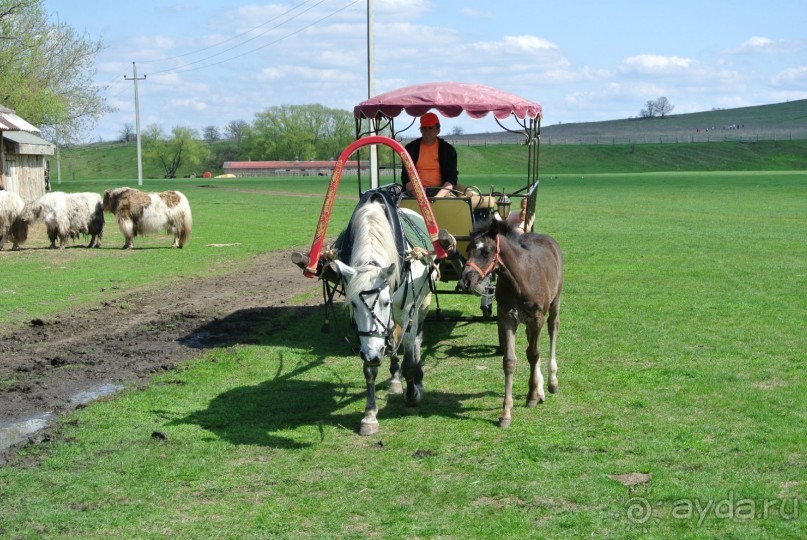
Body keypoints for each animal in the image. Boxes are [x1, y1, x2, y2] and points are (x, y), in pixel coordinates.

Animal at [332, 196, 438, 436]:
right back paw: (395, 378)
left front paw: (412, 394)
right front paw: (369, 416)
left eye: (385, 302)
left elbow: (409, 360)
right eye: (353, 305)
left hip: (422, 304)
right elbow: (369, 369)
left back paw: (417, 380)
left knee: (416, 340)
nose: (373, 355)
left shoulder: (408, 310)